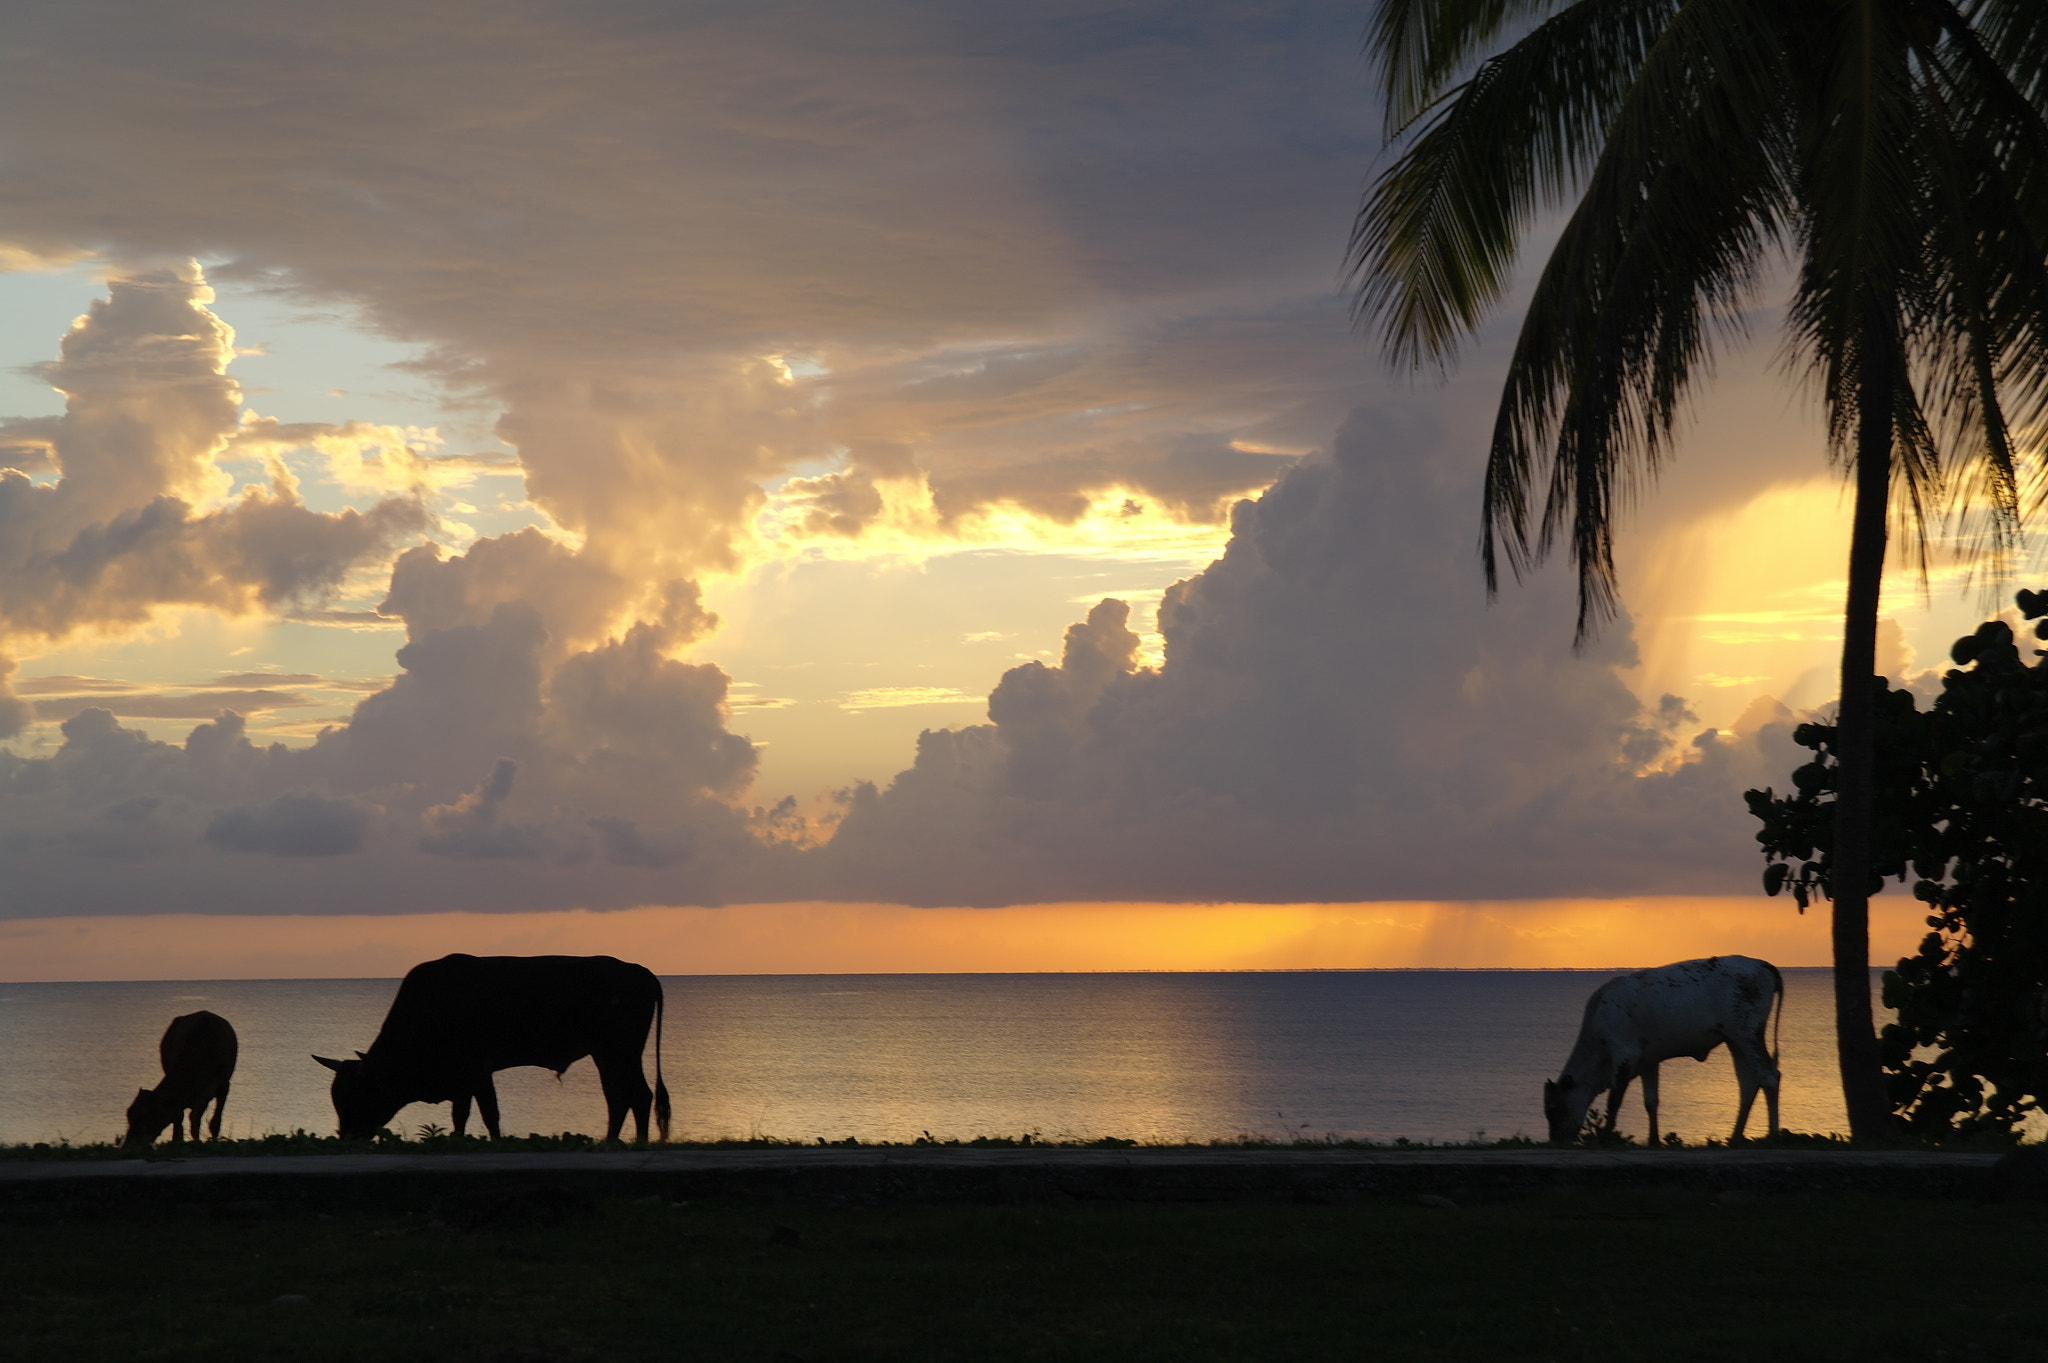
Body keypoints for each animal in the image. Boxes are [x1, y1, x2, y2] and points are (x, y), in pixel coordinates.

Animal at [124, 1002, 238, 1137]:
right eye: (129, 1113)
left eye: (145, 1117)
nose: (129, 1140)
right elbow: (180, 1123)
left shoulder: (222, 1086)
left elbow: (211, 1122)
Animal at [315, 949, 671, 1137]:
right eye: (337, 1098)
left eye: (358, 1095)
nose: (346, 1137)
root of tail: (638, 969)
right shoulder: (476, 1076)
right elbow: (487, 1114)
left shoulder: (471, 1072)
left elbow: (470, 1115)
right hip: (606, 1054)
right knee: (617, 1097)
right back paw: (610, 1142)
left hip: (623, 1051)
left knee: (639, 1095)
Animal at [1540, 953, 1785, 1146]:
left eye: (1552, 1110)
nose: (1555, 1141)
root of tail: (1762, 964)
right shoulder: (1648, 1061)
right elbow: (1651, 1101)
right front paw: (1654, 1140)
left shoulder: (1625, 1056)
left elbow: (1614, 1102)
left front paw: (1606, 1137)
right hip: (1734, 1040)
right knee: (1748, 1083)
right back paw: (1735, 1137)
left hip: (1747, 1033)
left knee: (1769, 1077)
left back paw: (1773, 1136)